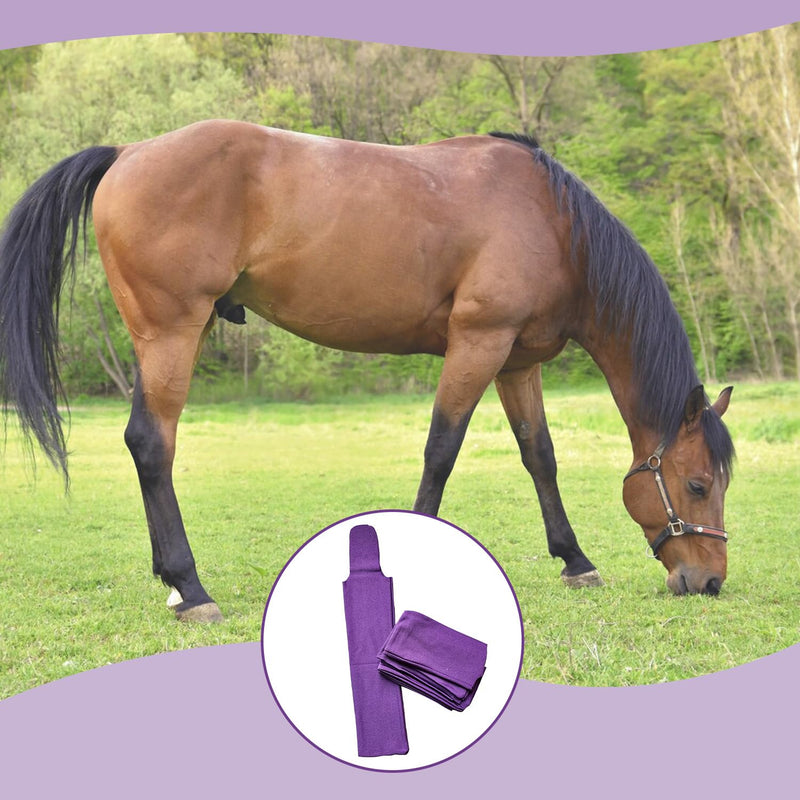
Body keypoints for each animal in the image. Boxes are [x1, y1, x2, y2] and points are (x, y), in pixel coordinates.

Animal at [0, 121, 735, 621]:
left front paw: (575, 560)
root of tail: (128, 153)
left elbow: (539, 457)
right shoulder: (477, 343)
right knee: (154, 444)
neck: (550, 223)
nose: (710, 582)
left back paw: (173, 584)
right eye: (697, 485)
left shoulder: (516, 361)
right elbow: (441, 451)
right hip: (173, 332)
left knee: (143, 443)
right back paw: (191, 586)